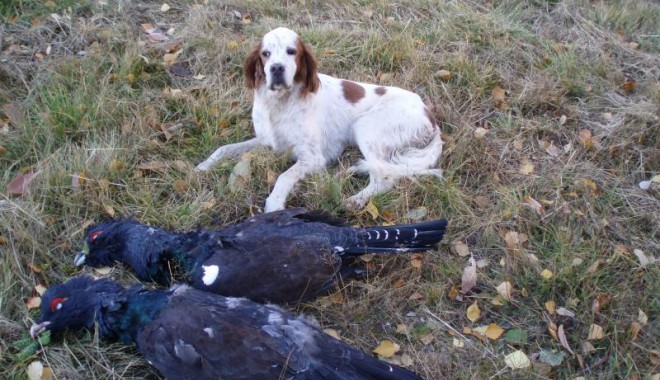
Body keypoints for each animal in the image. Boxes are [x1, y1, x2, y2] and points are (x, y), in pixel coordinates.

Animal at [196, 28, 444, 212]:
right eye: (265, 53)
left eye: (291, 51)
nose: (276, 68)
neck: (281, 102)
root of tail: (429, 114)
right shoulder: (266, 141)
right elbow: (224, 148)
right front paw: (202, 167)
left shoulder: (313, 157)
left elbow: (284, 176)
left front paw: (274, 203)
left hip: (364, 126)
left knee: (385, 177)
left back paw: (355, 200)